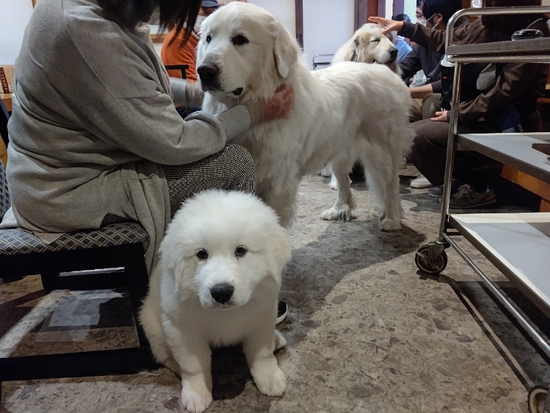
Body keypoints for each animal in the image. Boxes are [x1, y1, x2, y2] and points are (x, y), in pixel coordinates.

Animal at [140, 189, 292, 412]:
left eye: (240, 250)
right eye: (201, 254)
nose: (221, 292)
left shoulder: (263, 316)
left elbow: (262, 354)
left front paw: (269, 378)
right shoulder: (183, 330)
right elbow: (193, 365)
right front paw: (197, 393)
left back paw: (277, 339)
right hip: (152, 325)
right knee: (165, 355)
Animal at [198, 1, 414, 230]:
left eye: (240, 39)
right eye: (209, 38)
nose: (204, 71)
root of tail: (386, 73)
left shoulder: (276, 182)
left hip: (382, 152)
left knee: (390, 185)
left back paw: (391, 218)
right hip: (339, 150)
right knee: (344, 183)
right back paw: (339, 210)